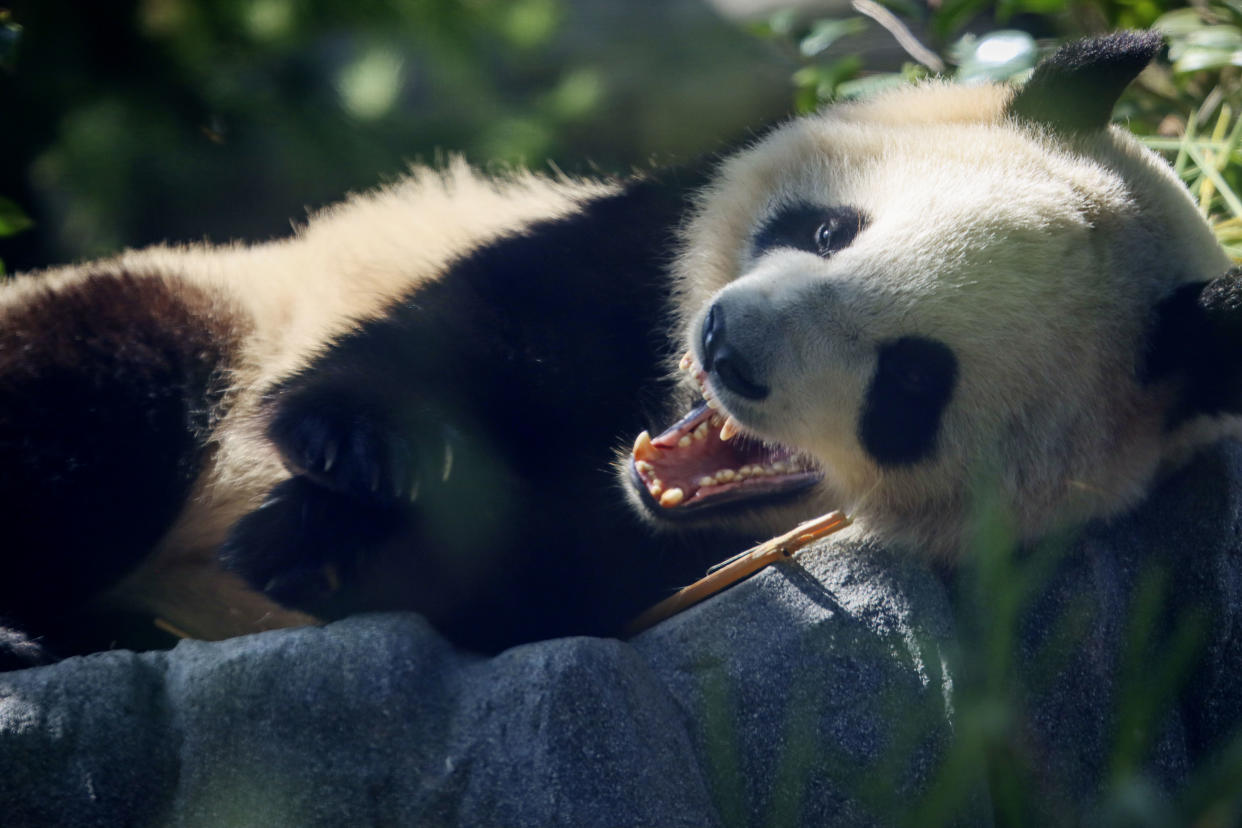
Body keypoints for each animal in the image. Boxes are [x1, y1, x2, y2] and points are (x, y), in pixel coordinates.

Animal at [2, 29, 1242, 670]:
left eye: (913, 381)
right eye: (829, 230)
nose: (727, 347)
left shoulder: (674, 576)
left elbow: (525, 588)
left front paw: (319, 546)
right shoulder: (641, 236)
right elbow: (496, 315)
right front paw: (356, 454)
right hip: (206, 307)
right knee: (101, 393)